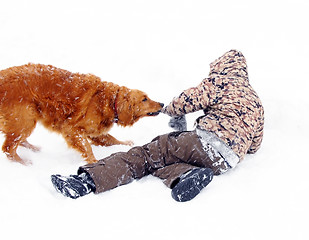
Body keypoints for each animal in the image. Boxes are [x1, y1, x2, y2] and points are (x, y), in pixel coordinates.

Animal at [0, 63, 164, 165]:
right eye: (144, 99)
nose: (162, 104)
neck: (110, 101)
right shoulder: (72, 129)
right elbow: (87, 147)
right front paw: (94, 162)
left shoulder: (95, 131)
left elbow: (110, 139)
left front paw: (125, 143)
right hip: (24, 119)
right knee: (8, 148)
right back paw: (25, 162)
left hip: (26, 120)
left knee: (18, 141)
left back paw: (34, 148)